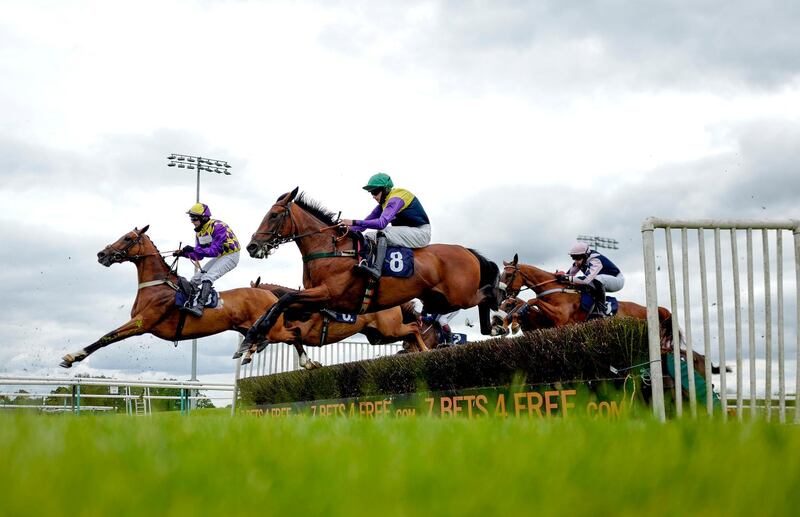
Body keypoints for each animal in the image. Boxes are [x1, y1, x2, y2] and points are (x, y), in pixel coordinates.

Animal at [60, 226, 290, 366]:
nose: (102, 254)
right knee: (268, 338)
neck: (157, 286)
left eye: (127, 238)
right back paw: (250, 351)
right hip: (249, 328)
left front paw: (72, 356)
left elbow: (107, 336)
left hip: (273, 328)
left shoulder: (142, 323)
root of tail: (270, 294)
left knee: (291, 335)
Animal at [238, 187, 500, 356]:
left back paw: (498, 309)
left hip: (459, 296)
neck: (331, 249)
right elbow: (279, 303)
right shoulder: (314, 299)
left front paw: (256, 334)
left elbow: (285, 299)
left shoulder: (328, 294)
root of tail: (466, 250)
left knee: (485, 294)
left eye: (273, 215)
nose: (252, 246)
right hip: (435, 301)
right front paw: (252, 336)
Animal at [241, 278, 428, 366]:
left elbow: (292, 337)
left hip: (389, 329)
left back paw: (425, 350)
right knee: (410, 334)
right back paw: (416, 352)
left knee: (413, 328)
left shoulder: (300, 330)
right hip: (379, 336)